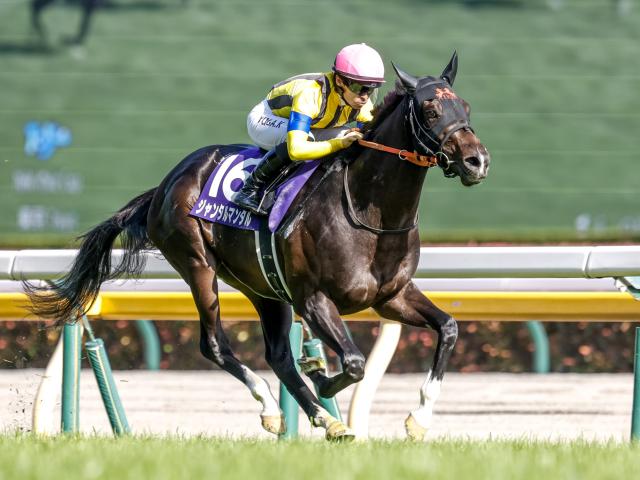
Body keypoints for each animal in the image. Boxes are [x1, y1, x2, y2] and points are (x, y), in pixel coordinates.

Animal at [25, 52, 490, 441]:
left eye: (466, 107)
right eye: (430, 110)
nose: (477, 160)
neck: (369, 213)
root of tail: (167, 183)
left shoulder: (390, 296)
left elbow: (448, 328)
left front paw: (418, 419)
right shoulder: (313, 299)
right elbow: (354, 363)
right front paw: (321, 375)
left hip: (263, 286)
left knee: (278, 355)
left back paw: (327, 420)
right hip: (199, 266)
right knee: (215, 344)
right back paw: (274, 406)